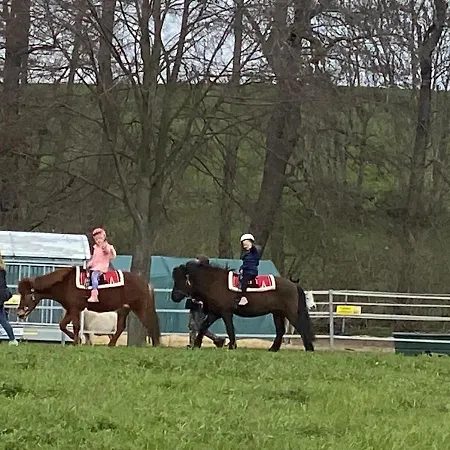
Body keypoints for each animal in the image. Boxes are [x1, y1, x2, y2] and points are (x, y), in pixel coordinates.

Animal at [17, 266, 160, 346]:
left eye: (28, 295)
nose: (19, 313)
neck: (66, 283)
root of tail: (145, 283)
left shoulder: (75, 309)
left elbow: (73, 326)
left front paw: (76, 341)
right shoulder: (72, 309)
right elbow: (64, 325)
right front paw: (76, 340)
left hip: (139, 308)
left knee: (149, 324)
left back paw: (156, 345)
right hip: (124, 309)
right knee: (121, 327)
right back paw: (111, 344)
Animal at [171, 260, 315, 352]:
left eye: (181, 279)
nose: (174, 296)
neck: (215, 282)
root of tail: (294, 285)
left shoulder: (226, 313)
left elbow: (230, 328)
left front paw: (232, 346)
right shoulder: (215, 313)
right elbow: (203, 326)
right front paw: (196, 345)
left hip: (290, 313)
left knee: (300, 327)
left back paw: (309, 348)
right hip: (277, 313)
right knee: (280, 331)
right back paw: (273, 348)